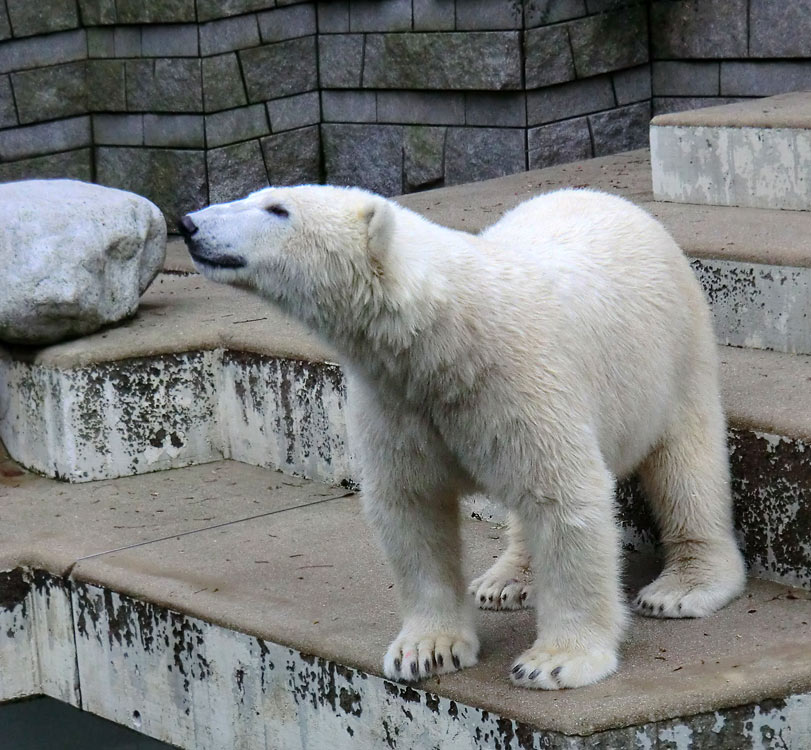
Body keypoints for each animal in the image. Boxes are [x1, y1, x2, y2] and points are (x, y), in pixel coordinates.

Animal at [181, 185, 744, 692]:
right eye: (256, 195)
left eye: (278, 209)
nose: (188, 223)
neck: (443, 336)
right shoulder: (396, 402)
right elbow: (411, 506)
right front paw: (426, 650)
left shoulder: (520, 377)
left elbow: (565, 497)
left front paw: (554, 663)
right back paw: (506, 580)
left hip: (674, 349)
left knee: (686, 464)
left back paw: (683, 587)